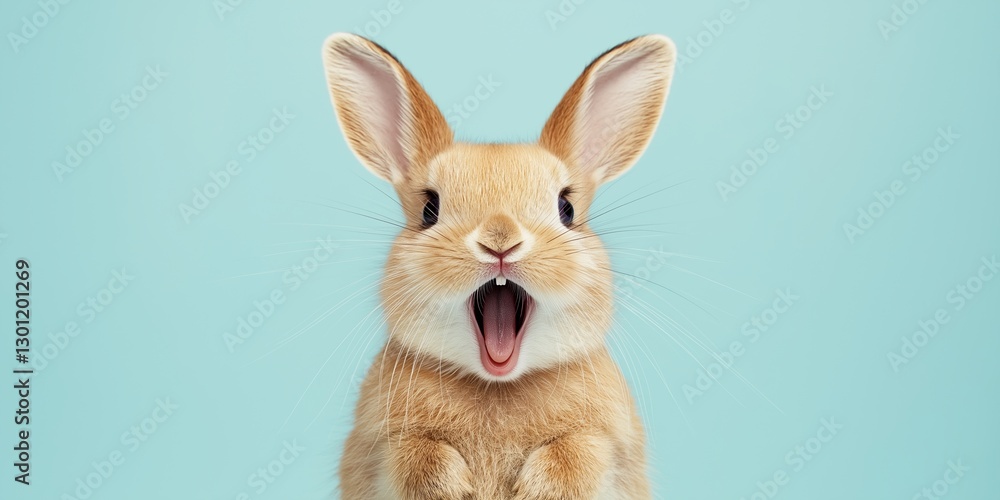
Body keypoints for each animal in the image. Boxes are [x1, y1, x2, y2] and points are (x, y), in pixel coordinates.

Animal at [320, 32, 676, 499]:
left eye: (566, 208)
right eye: (429, 209)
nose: (500, 241)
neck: (497, 384)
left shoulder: (605, 443)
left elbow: (576, 453)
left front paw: (535, 489)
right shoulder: (383, 444)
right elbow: (417, 456)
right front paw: (457, 488)